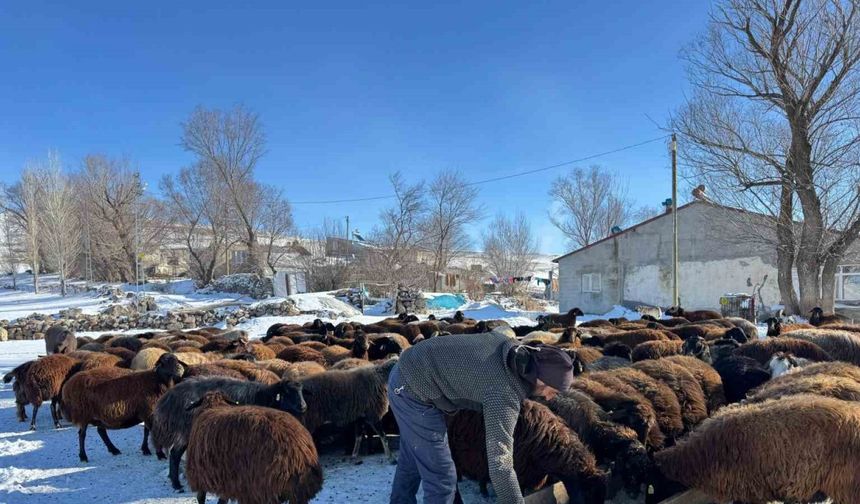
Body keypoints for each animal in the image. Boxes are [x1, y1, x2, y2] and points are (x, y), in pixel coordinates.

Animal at [187, 392, 322, 504]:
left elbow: (201, 497)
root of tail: (300, 456)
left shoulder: (200, 475)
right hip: (297, 494)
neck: (214, 406)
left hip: (262, 488)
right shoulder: (226, 481)